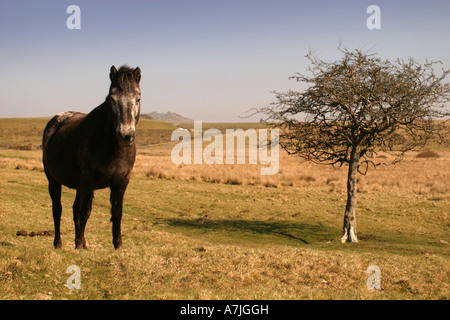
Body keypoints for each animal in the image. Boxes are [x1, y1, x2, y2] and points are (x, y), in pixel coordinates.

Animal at [42, 65, 141, 250]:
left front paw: (118, 244)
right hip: (54, 181)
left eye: (138, 99)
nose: (126, 135)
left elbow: (117, 212)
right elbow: (85, 211)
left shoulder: (121, 182)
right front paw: (79, 244)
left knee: (74, 209)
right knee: (57, 209)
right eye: (112, 99)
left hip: (78, 185)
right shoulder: (88, 180)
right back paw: (58, 243)